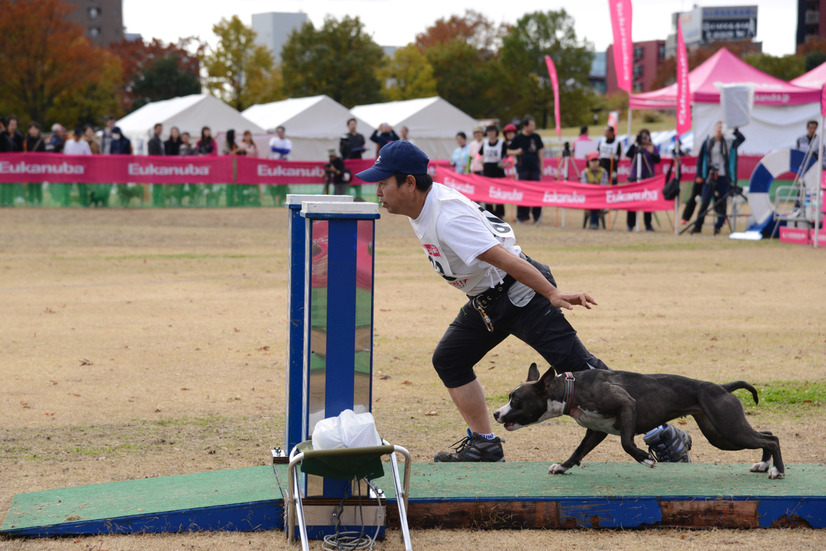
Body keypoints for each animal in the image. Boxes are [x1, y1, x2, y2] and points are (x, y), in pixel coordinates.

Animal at [492, 362, 784, 478]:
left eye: (515, 400)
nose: (496, 413)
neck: (571, 389)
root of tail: (722, 388)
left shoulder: (627, 406)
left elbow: (626, 442)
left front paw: (645, 458)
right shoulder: (595, 431)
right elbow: (578, 452)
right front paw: (562, 467)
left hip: (728, 429)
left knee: (772, 439)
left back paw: (777, 471)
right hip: (721, 434)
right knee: (767, 435)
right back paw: (762, 465)